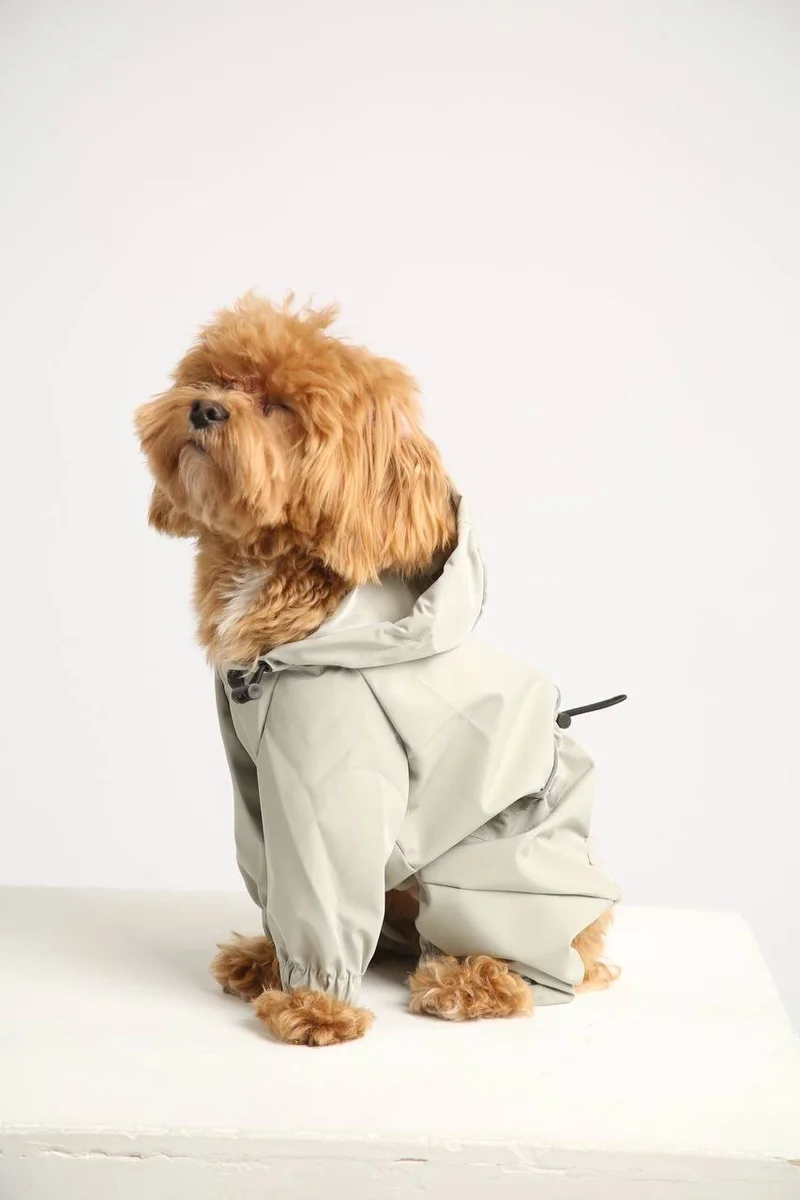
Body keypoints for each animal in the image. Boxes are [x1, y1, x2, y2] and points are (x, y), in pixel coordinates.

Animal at [136, 293, 619, 1047]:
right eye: (214, 378)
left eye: (280, 406)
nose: (205, 409)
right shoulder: (255, 777)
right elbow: (275, 878)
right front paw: (270, 965)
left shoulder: (328, 781)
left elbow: (321, 884)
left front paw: (314, 1006)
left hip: (494, 865)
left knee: (532, 970)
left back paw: (466, 982)